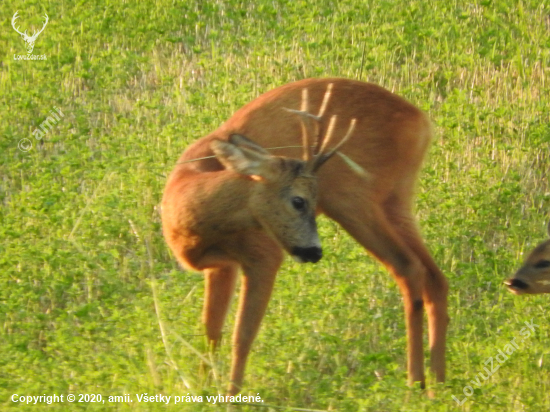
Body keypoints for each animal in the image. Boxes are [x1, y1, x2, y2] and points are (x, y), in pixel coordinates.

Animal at [162, 76, 450, 392]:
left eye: (309, 199)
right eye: (298, 201)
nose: (314, 251)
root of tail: (419, 120)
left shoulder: (263, 255)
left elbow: (242, 336)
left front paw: (231, 396)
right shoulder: (223, 266)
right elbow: (211, 332)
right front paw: (202, 390)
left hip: (353, 199)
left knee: (408, 268)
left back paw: (415, 383)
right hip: (396, 199)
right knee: (434, 277)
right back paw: (438, 384)